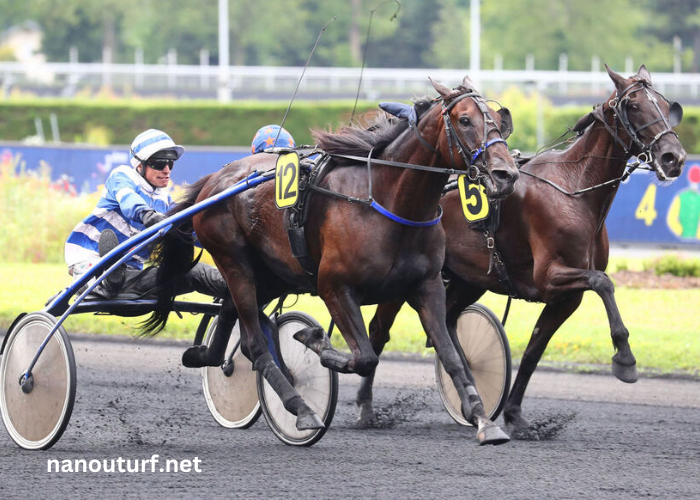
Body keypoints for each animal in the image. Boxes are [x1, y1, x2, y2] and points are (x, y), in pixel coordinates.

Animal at [144, 76, 520, 444]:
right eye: (465, 120)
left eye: (499, 119)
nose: (507, 174)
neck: (388, 202)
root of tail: (215, 180)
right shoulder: (334, 286)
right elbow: (365, 357)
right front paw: (314, 340)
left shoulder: (426, 286)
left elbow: (451, 355)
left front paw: (483, 419)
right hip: (234, 260)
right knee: (254, 343)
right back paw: (301, 409)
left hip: (273, 273)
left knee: (230, 312)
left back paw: (205, 356)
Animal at [364, 64, 688, 434]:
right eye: (633, 105)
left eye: (665, 105)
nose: (674, 157)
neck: (574, 189)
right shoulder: (549, 276)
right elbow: (604, 283)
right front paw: (625, 358)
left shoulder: (567, 296)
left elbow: (535, 349)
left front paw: (515, 414)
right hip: (406, 277)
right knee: (379, 330)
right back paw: (366, 408)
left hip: (468, 279)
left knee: (446, 320)